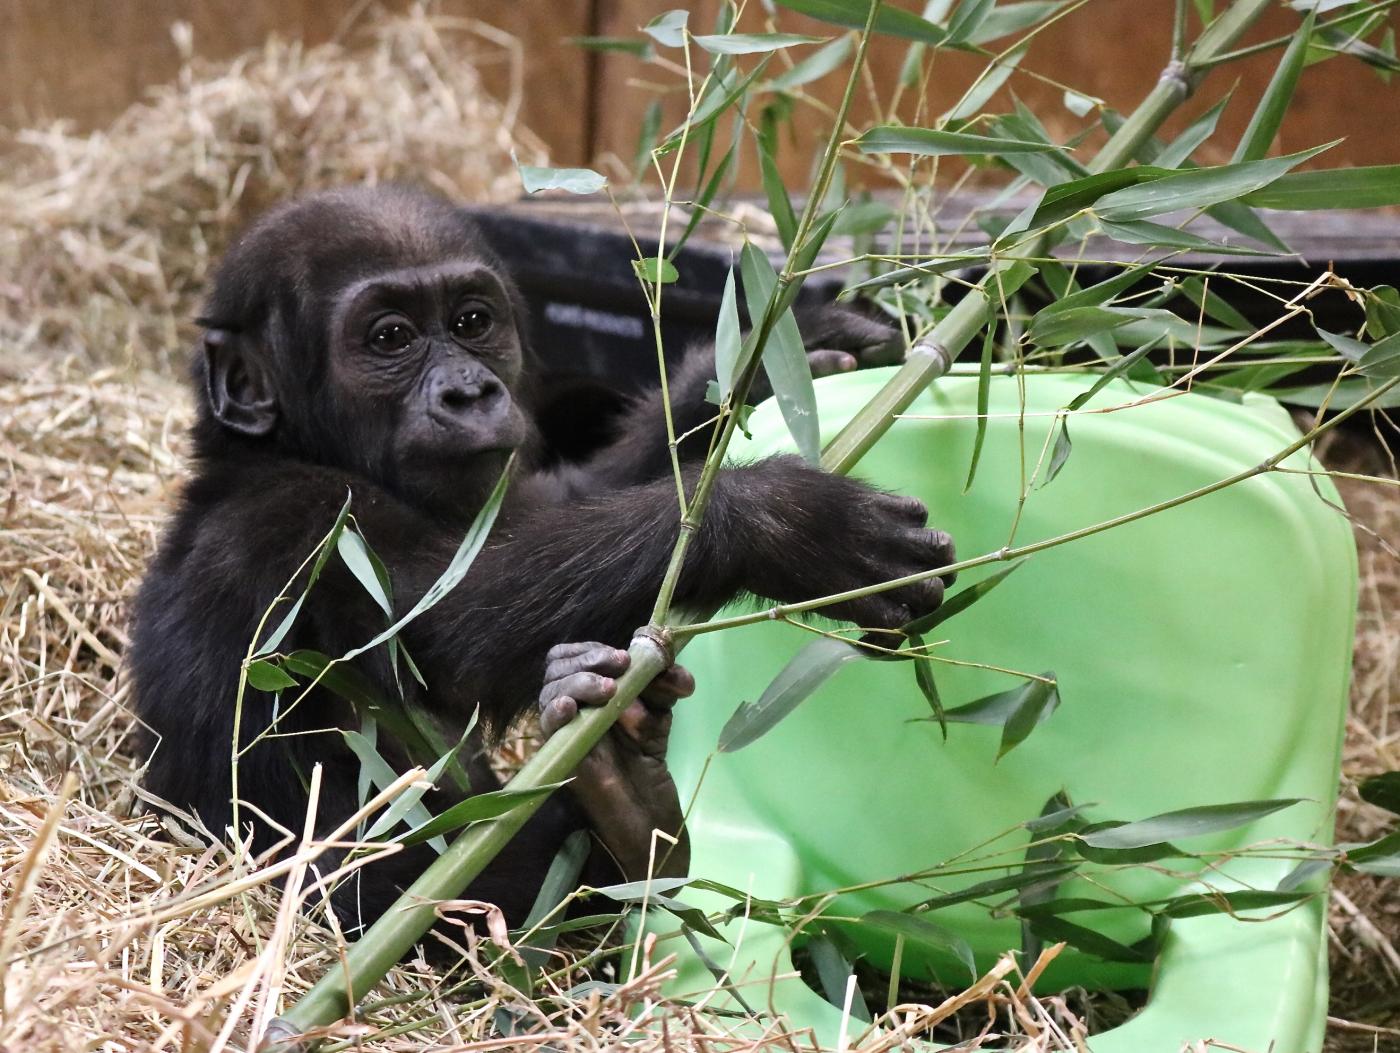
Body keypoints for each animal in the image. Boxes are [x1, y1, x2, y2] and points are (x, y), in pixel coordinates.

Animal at [128, 180, 952, 935]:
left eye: (472, 322)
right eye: (390, 339)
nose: (469, 391)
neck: (287, 447)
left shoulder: (504, 490)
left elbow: (571, 501)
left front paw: (774, 351)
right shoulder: (302, 521)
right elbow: (455, 625)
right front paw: (785, 519)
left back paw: (631, 800)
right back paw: (629, 814)